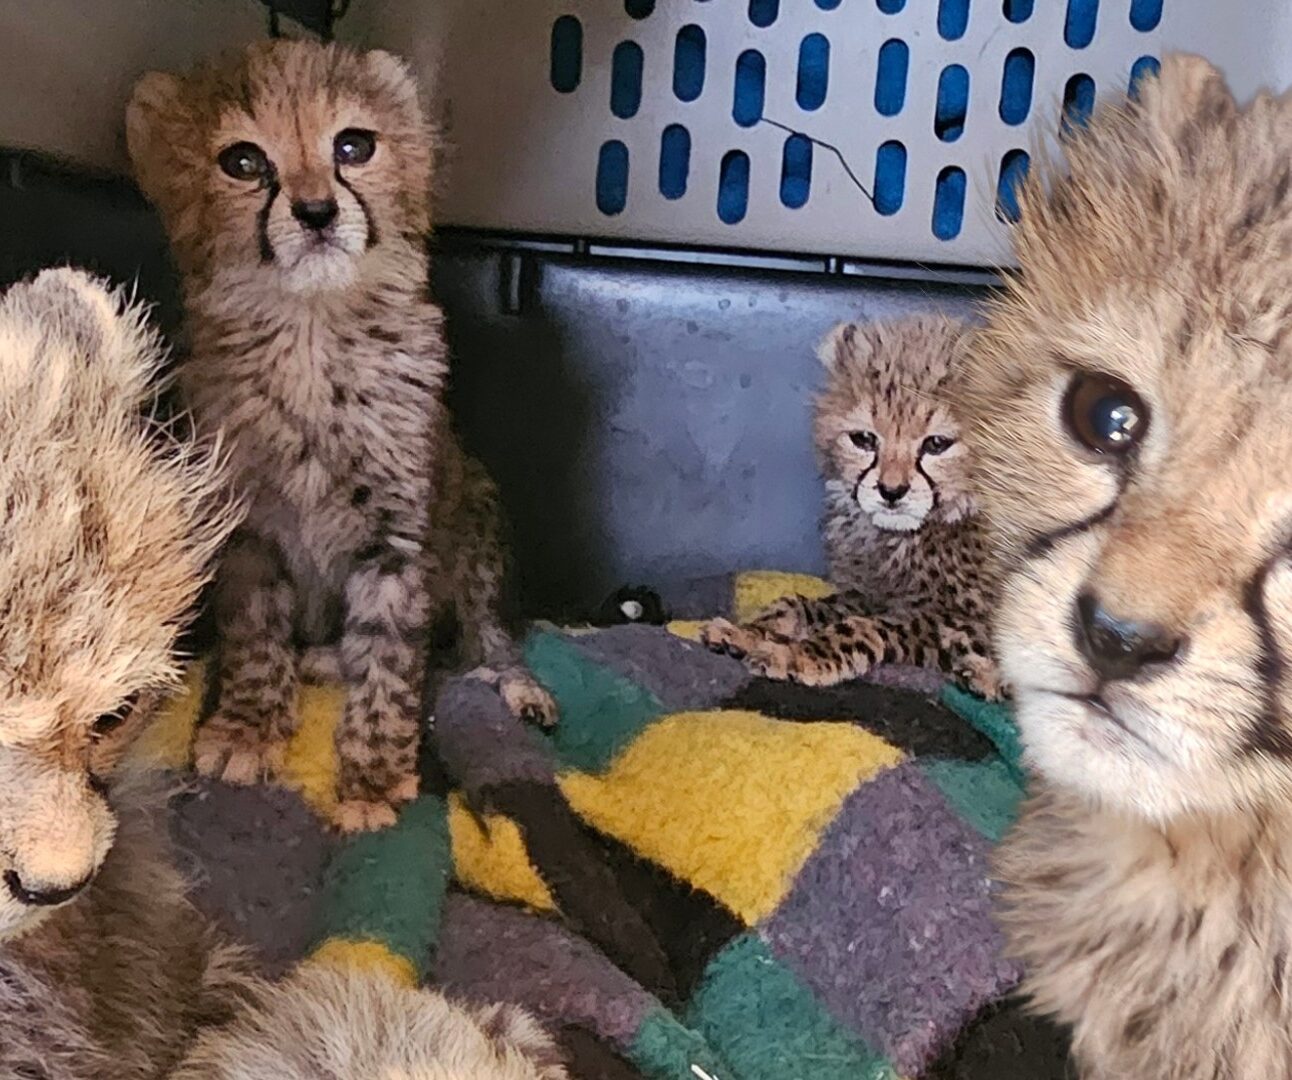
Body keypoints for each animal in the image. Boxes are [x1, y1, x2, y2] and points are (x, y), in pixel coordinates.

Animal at [125, 40, 557, 833]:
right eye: (242, 161)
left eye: (354, 147)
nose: (317, 212)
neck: (311, 331)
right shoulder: (248, 534)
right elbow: (257, 637)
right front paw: (249, 727)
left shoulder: (399, 540)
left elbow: (391, 660)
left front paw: (373, 778)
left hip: (478, 521)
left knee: (484, 639)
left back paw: (519, 687)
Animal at [702, 314, 1003, 699]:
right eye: (863, 439)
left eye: (936, 444)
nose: (891, 491)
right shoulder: (867, 592)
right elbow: (802, 606)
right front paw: (747, 633)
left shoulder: (966, 622)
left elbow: (866, 627)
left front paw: (795, 655)